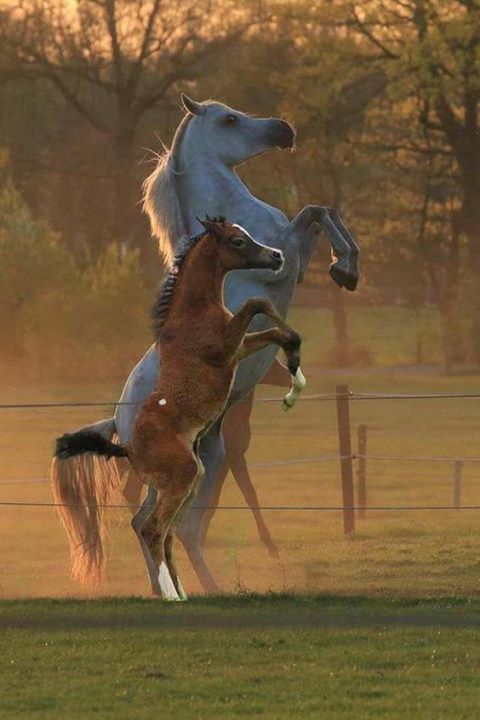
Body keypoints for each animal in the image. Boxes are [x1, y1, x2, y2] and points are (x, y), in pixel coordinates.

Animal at [53, 218, 306, 599]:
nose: (275, 256)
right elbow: (257, 302)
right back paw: (171, 594)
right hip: (181, 480)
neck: (192, 313)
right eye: (237, 240)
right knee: (153, 529)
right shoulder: (225, 346)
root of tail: (126, 446)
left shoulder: (239, 348)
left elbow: (274, 330)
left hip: (186, 482)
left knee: (162, 530)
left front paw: (295, 382)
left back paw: (179, 590)